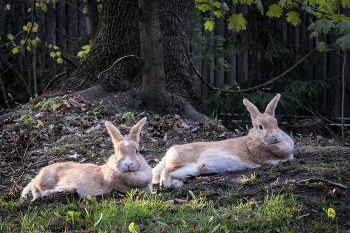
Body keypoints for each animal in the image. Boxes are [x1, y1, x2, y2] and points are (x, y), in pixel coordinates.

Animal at [21, 116, 152, 200]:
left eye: (137, 151)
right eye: (117, 152)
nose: (128, 164)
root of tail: (41, 172)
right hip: (45, 181)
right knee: (34, 185)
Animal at [154, 93, 294, 187]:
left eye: (276, 124)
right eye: (260, 127)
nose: (276, 136)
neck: (253, 139)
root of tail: (169, 152)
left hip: (192, 168)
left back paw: (176, 184)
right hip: (179, 162)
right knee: (166, 171)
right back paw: (166, 184)